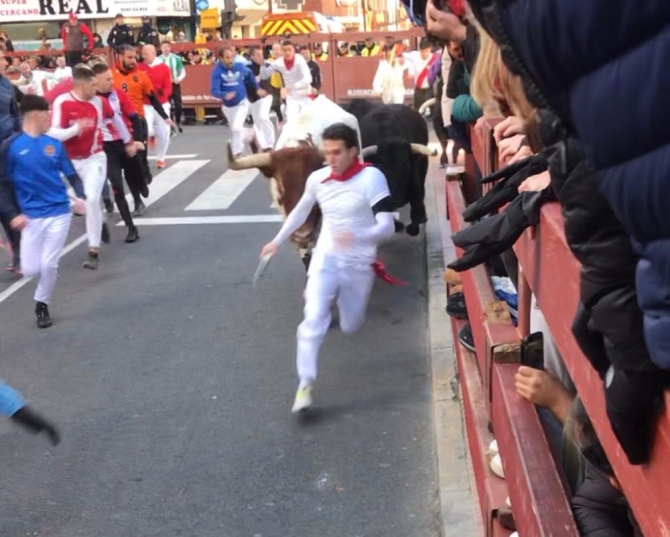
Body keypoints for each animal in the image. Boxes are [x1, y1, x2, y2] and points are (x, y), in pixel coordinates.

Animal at [346, 99, 436, 236]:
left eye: (406, 166)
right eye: (381, 167)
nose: (395, 199)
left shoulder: (414, 177)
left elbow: (417, 200)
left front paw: (415, 225)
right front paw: (396, 225)